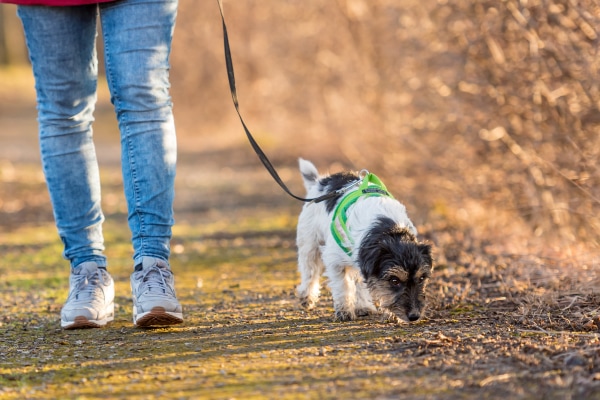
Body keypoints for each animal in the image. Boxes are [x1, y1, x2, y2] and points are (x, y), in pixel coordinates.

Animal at [294, 159, 432, 322]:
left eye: (421, 278)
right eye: (394, 280)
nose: (414, 316)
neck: (388, 230)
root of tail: (320, 181)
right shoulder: (335, 260)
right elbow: (343, 286)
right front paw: (344, 311)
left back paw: (363, 307)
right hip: (309, 245)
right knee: (309, 271)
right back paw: (307, 297)